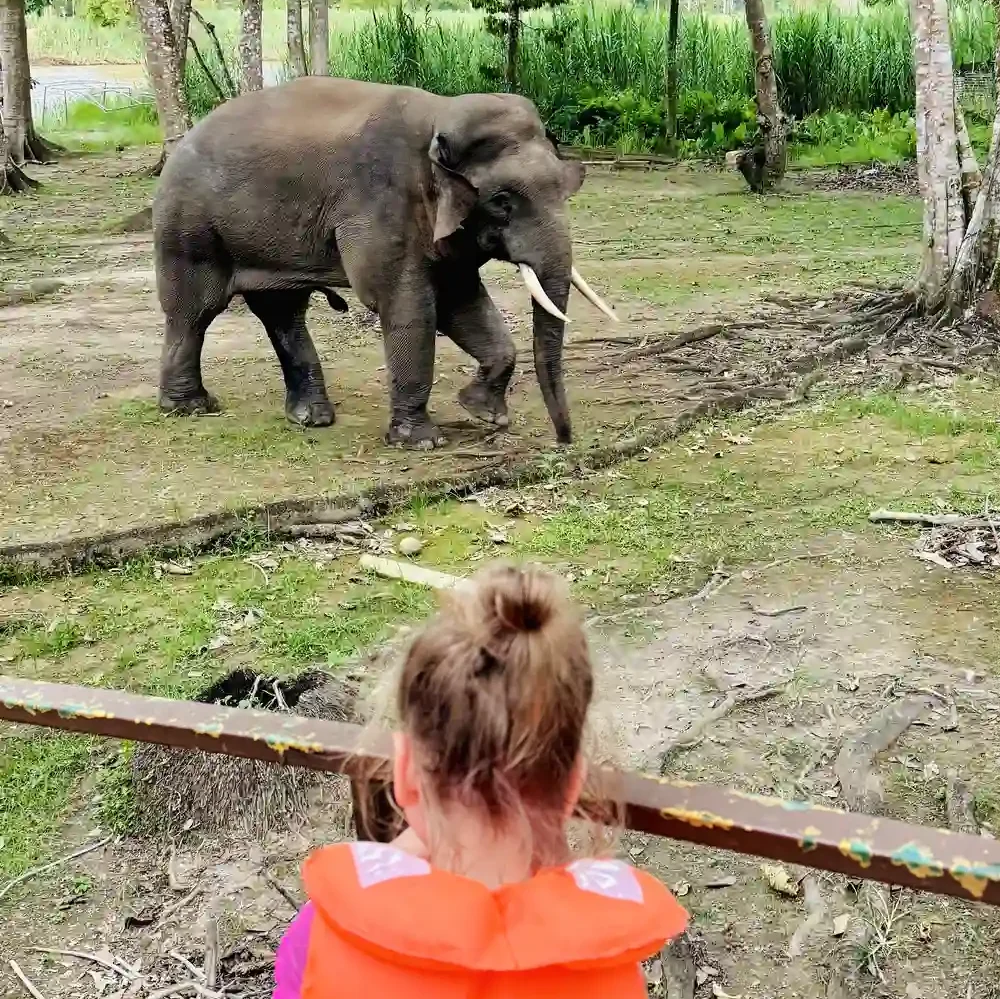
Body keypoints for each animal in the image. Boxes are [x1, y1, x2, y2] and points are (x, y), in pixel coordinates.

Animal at [152, 77, 618, 448]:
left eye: (567, 186)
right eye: (502, 201)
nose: (564, 440)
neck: (439, 114)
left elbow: (461, 302)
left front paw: (484, 412)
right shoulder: (382, 203)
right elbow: (410, 306)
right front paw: (422, 442)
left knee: (284, 311)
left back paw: (311, 418)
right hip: (189, 226)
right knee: (196, 310)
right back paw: (190, 407)